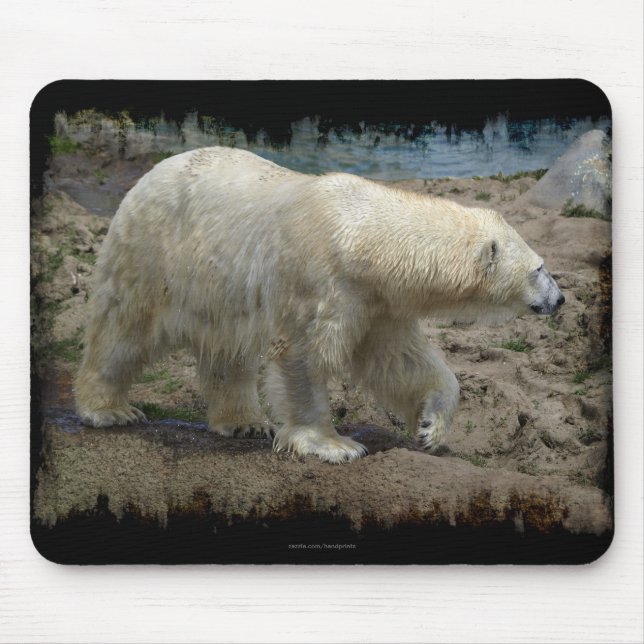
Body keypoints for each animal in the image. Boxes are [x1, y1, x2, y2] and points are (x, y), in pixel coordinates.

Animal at [75, 146, 565, 464]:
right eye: (539, 268)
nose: (559, 299)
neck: (365, 239)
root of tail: (152, 171)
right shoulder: (320, 278)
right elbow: (304, 354)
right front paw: (333, 445)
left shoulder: (377, 301)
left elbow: (399, 360)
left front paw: (431, 426)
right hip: (155, 252)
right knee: (124, 326)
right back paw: (109, 409)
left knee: (228, 350)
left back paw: (244, 421)